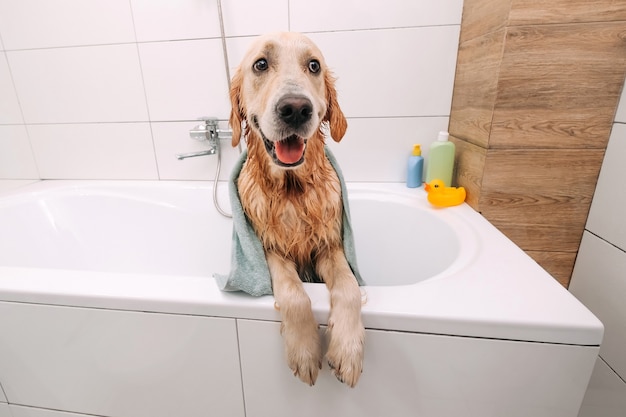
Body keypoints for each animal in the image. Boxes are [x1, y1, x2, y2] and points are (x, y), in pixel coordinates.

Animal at [228, 32, 364, 386]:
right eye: (261, 64)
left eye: (314, 65)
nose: (296, 109)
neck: (292, 191)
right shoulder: (270, 249)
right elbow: (293, 293)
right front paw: (304, 351)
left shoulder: (330, 245)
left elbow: (349, 287)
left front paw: (348, 350)